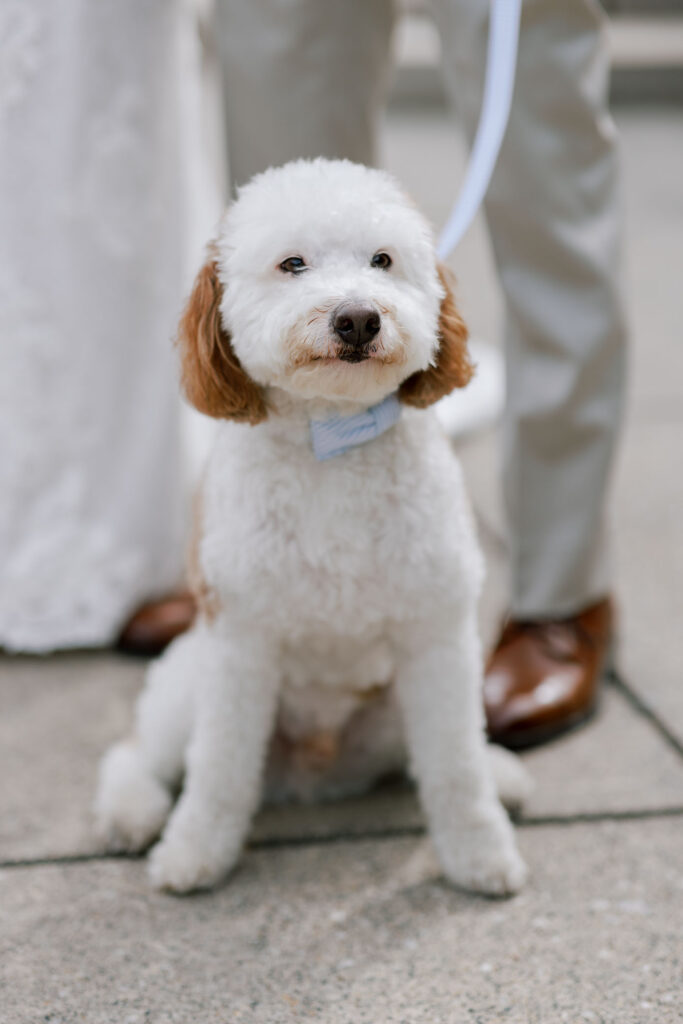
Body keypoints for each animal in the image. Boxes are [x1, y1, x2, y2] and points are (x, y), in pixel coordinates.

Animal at [94, 155, 528, 892]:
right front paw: (194, 851)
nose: (357, 318)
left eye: (382, 261)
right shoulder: (239, 644)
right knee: (138, 753)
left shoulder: (437, 635)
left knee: (431, 755)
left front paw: (480, 851)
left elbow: (454, 767)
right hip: (187, 678)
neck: (333, 435)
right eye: (292, 264)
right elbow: (218, 772)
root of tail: (314, 776)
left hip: (395, 705)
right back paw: (131, 812)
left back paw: (501, 774)